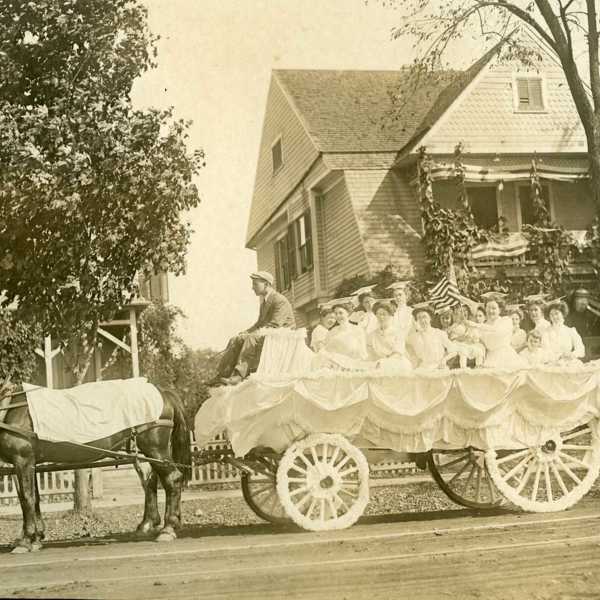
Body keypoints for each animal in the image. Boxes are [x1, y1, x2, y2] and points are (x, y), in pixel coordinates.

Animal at [0, 384, 191, 552]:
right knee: (152, 481)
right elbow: (33, 499)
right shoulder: (29, 462)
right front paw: (36, 537)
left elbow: (27, 498)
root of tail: (163, 391)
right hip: (147, 453)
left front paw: (25, 541)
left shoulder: (23, 459)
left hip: (154, 448)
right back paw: (152, 524)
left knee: (172, 479)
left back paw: (168, 528)